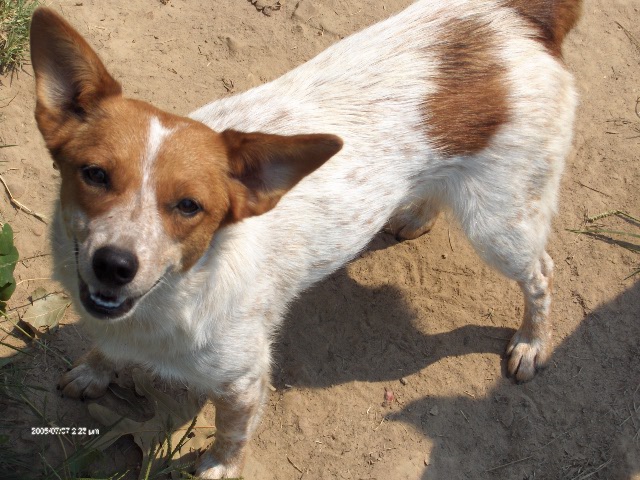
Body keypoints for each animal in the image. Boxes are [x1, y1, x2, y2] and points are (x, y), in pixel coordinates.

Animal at [28, 0, 580, 476]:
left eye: (188, 206)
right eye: (95, 174)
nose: (115, 265)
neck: (173, 296)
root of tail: (511, 16)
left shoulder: (243, 381)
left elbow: (231, 436)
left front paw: (218, 468)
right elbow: (104, 349)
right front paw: (96, 370)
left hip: (500, 225)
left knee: (542, 275)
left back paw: (531, 343)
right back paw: (415, 214)